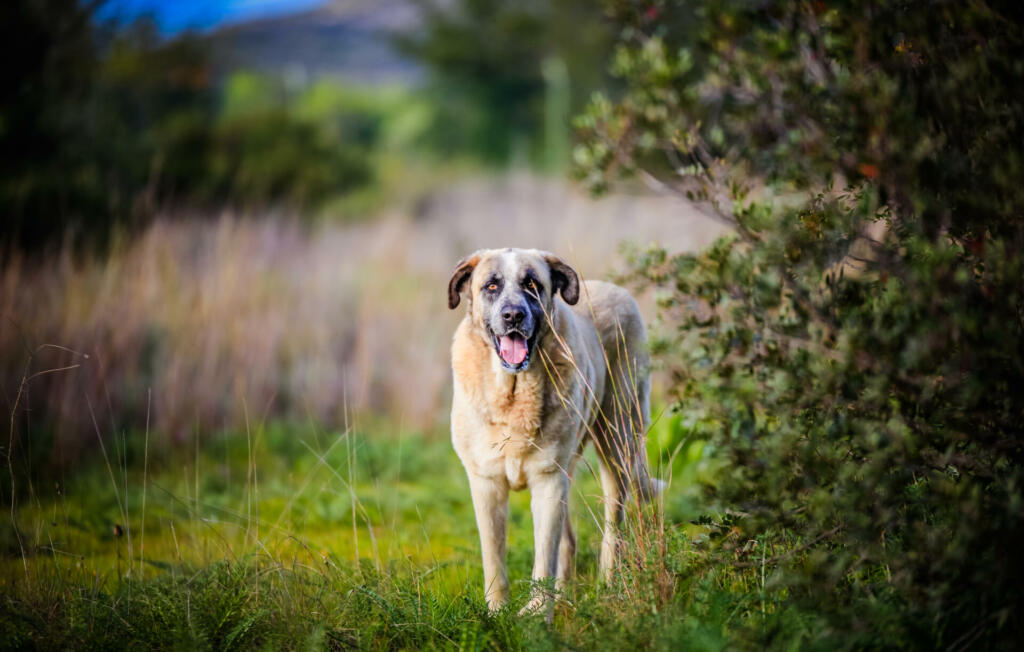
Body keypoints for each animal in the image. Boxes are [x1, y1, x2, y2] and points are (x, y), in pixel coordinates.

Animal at [448, 246, 663, 618]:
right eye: (491, 286)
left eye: (532, 284)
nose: (513, 316)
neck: (513, 396)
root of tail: (616, 290)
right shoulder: (487, 484)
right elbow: (494, 559)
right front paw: (497, 613)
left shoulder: (548, 483)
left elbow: (543, 559)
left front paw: (537, 615)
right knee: (570, 541)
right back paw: (563, 598)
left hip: (616, 444)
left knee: (613, 526)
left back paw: (607, 586)